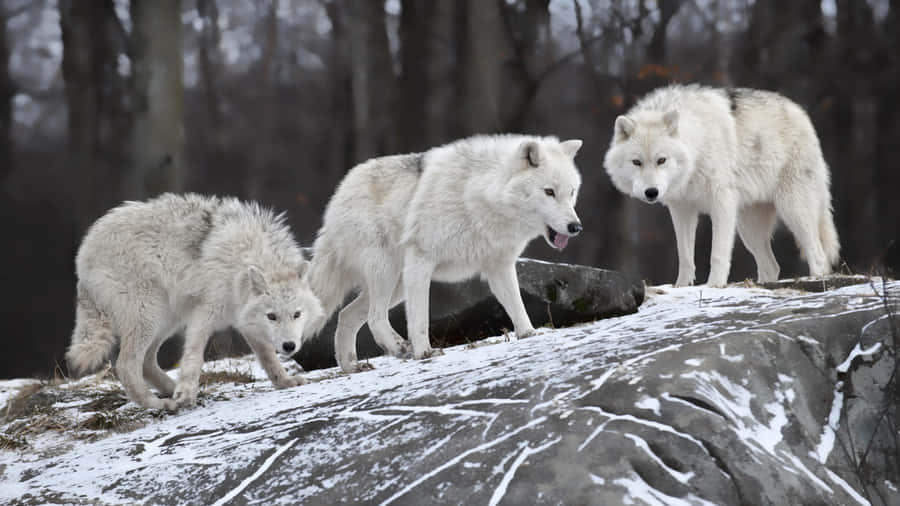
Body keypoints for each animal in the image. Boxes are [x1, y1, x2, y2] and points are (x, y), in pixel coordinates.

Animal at [66, 193, 324, 410]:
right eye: (272, 316)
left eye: (297, 314)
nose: (289, 346)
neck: (242, 261)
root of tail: (82, 255)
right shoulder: (204, 313)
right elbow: (193, 357)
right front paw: (186, 394)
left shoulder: (244, 319)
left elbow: (268, 357)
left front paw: (285, 382)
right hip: (150, 315)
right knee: (126, 366)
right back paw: (158, 404)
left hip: (167, 319)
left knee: (147, 363)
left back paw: (172, 390)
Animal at [305, 134, 583, 373]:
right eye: (549, 192)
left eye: (571, 192)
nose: (576, 227)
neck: (478, 195)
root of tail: (339, 193)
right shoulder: (421, 260)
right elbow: (420, 318)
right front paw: (424, 353)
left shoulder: (499, 266)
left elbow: (516, 305)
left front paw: (528, 334)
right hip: (387, 273)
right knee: (375, 317)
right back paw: (399, 348)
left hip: (397, 285)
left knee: (347, 315)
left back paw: (351, 366)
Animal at [603, 84, 839, 287]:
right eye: (637, 162)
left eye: (661, 160)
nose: (651, 192)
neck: (697, 145)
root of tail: (800, 112)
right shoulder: (682, 209)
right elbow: (685, 256)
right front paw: (682, 286)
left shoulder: (721, 202)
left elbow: (717, 253)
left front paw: (714, 284)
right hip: (749, 228)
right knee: (771, 266)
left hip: (792, 209)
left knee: (818, 255)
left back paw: (817, 279)